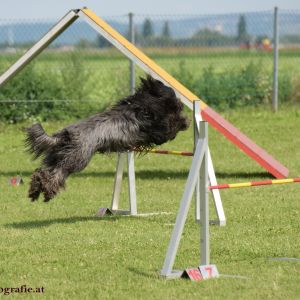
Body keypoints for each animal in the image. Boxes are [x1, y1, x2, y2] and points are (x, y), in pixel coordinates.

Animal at [24, 75, 190, 202]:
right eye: (172, 96)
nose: (180, 103)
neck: (139, 107)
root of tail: (64, 135)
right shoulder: (158, 132)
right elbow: (171, 128)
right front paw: (184, 122)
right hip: (77, 158)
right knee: (55, 174)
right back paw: (47, 191)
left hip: (56, 157)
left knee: (42, 171)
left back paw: (35, 190)